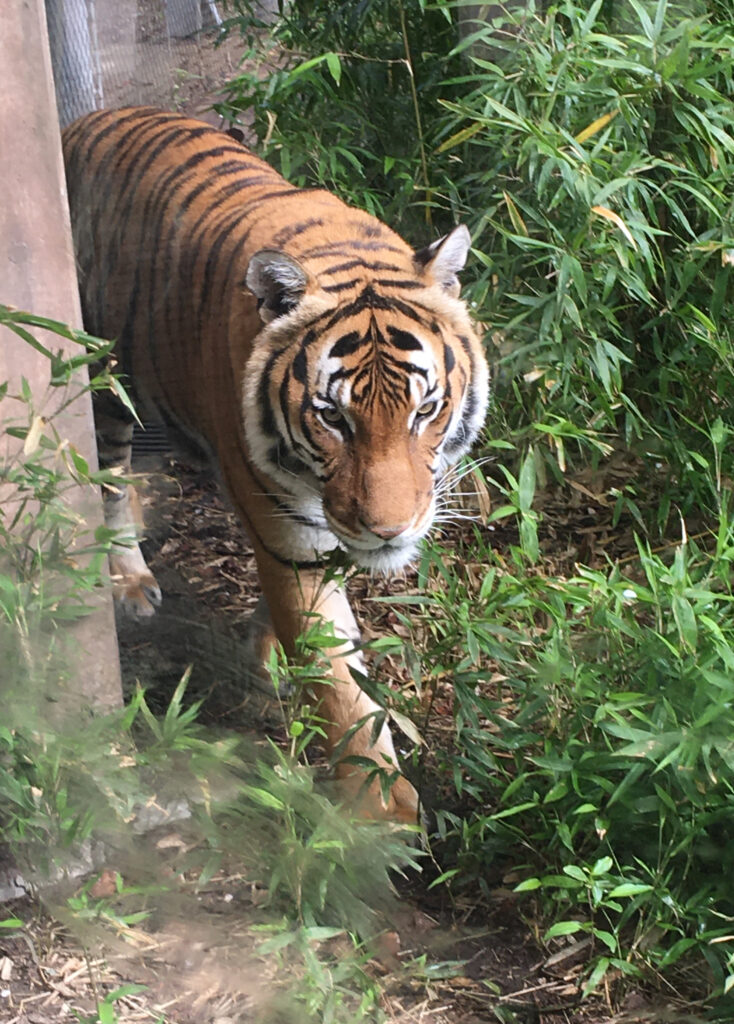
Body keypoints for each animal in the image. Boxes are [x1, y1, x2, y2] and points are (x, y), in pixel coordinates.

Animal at [61, 105, 487, 823]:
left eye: (424, 411)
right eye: (333, 417)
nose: (390, 531)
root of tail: (84, 120)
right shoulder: (288, 533)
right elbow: (336, 676)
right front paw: (380, 811)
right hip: (104, 383)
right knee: (110, 481)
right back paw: (129, 580)